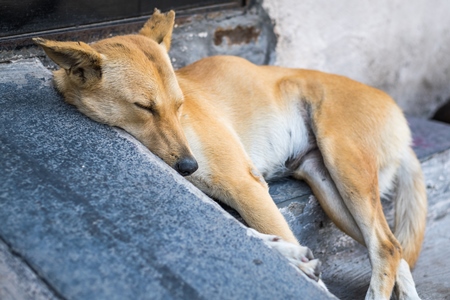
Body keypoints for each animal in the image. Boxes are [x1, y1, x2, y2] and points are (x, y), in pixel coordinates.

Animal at [33, 9, 428, 300]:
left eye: (178, 105)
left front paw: (299, 265)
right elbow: (256, 236)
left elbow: (275, 238)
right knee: (393, 249)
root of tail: (401, 122)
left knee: (386, 247)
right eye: (144, 107)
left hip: (345, 168)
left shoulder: (246, 186)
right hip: (332, 192)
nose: (188, 166)